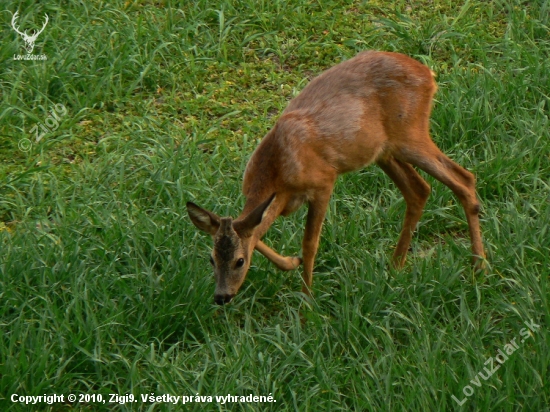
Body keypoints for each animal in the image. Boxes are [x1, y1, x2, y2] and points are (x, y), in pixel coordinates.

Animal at [189, 50, 488, 306]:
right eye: (212, 259)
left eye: (239, 261)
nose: (222, 297)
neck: (277, 171)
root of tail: (428, 74)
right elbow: (257, 233)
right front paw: (291, 262)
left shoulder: (323, 182)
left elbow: (310, 244)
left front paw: (306, 303)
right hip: (383, 151)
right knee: (419, 189)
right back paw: (396, 266)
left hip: (409, 134)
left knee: (463, 178)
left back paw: (479, 266)